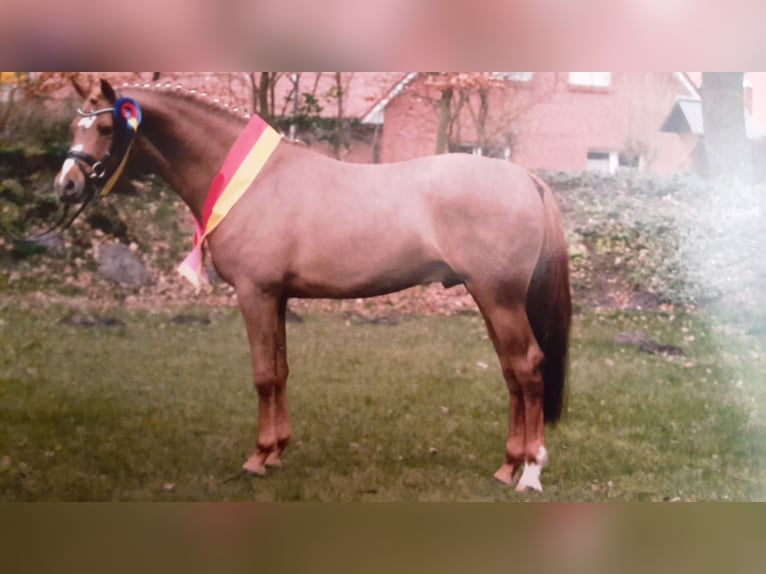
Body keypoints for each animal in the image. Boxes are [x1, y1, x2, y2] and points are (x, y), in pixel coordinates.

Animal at [55, 77, 568, 496]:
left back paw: (531, 472)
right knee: (512, 373)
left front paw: (257, 458)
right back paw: (507, 467)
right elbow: (281, 371)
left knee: (528, 368)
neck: (252, 182)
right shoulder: (277, 297)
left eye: (106, 129)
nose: (66, 185)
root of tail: (526, 178)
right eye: (73, 127)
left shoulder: (255, 294)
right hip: (491, 299)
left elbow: (263, 375)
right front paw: (278, 452)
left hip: (499, 299)